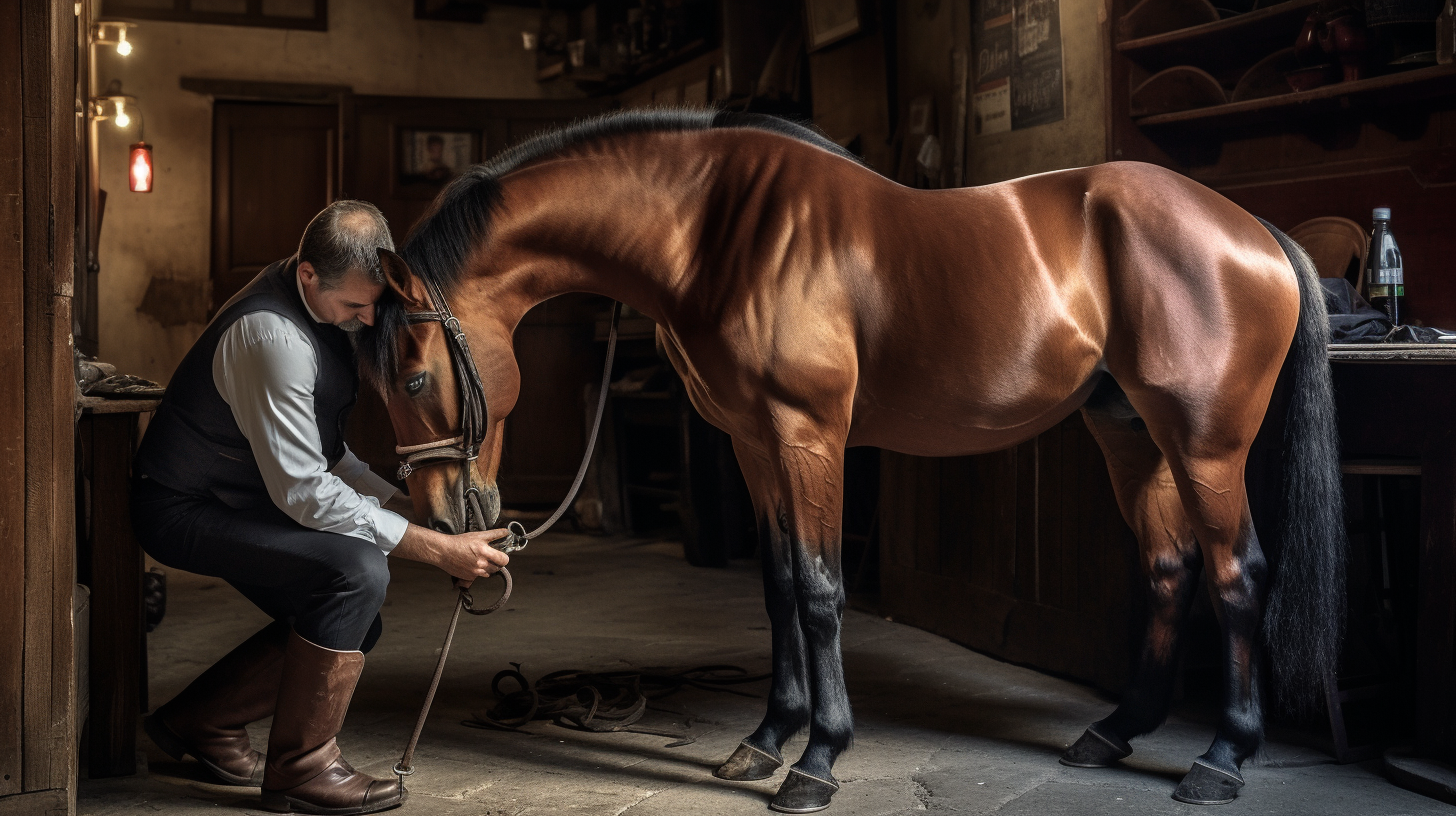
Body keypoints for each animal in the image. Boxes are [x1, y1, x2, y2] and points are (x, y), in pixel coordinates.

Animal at [352, 110, 1339, 816]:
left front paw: (817, 759)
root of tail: (1254, 228)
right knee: (1171, 569)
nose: (443, 519)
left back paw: (1223, 758)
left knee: (1237, 575)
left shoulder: (807, 437)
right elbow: (779, 585)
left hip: (1205, 443)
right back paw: (1115, 732)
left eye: (412, 373)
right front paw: (767, 738)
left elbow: (822, 589)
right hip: (1132, 435)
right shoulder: (753, 445)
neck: (712, 233)